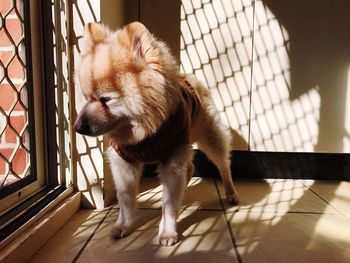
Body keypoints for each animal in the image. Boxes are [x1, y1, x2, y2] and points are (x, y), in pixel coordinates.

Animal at [73, 21, 238, 246]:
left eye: (106, 99)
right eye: (86, 97)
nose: (77, 127)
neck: (144, 132)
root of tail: (190, 78)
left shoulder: (173, 154)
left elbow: (168, 204)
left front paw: (167, 231)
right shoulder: (124, 160)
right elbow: (126, 199)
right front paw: (124, 225)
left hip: (209, 136)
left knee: (223, 163)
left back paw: (230, 192)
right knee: (190, 167)